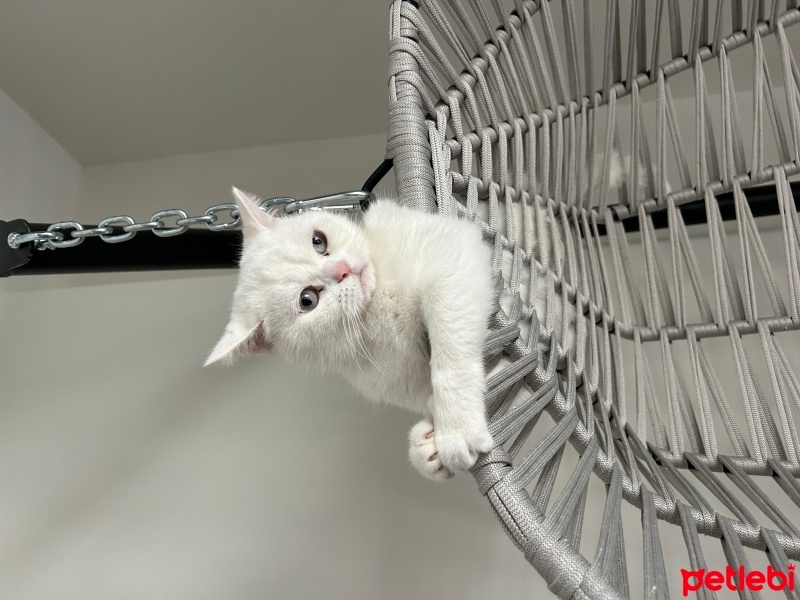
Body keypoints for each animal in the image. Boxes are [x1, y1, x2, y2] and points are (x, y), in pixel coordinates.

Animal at [206, 190, 494, 480]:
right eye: (307, 300)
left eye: (318, 241)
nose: (343, 269)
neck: (374, 308)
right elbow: (426, 395)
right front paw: (426, 449)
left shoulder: (451, 255)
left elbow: (449, 358)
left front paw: (457, 429)